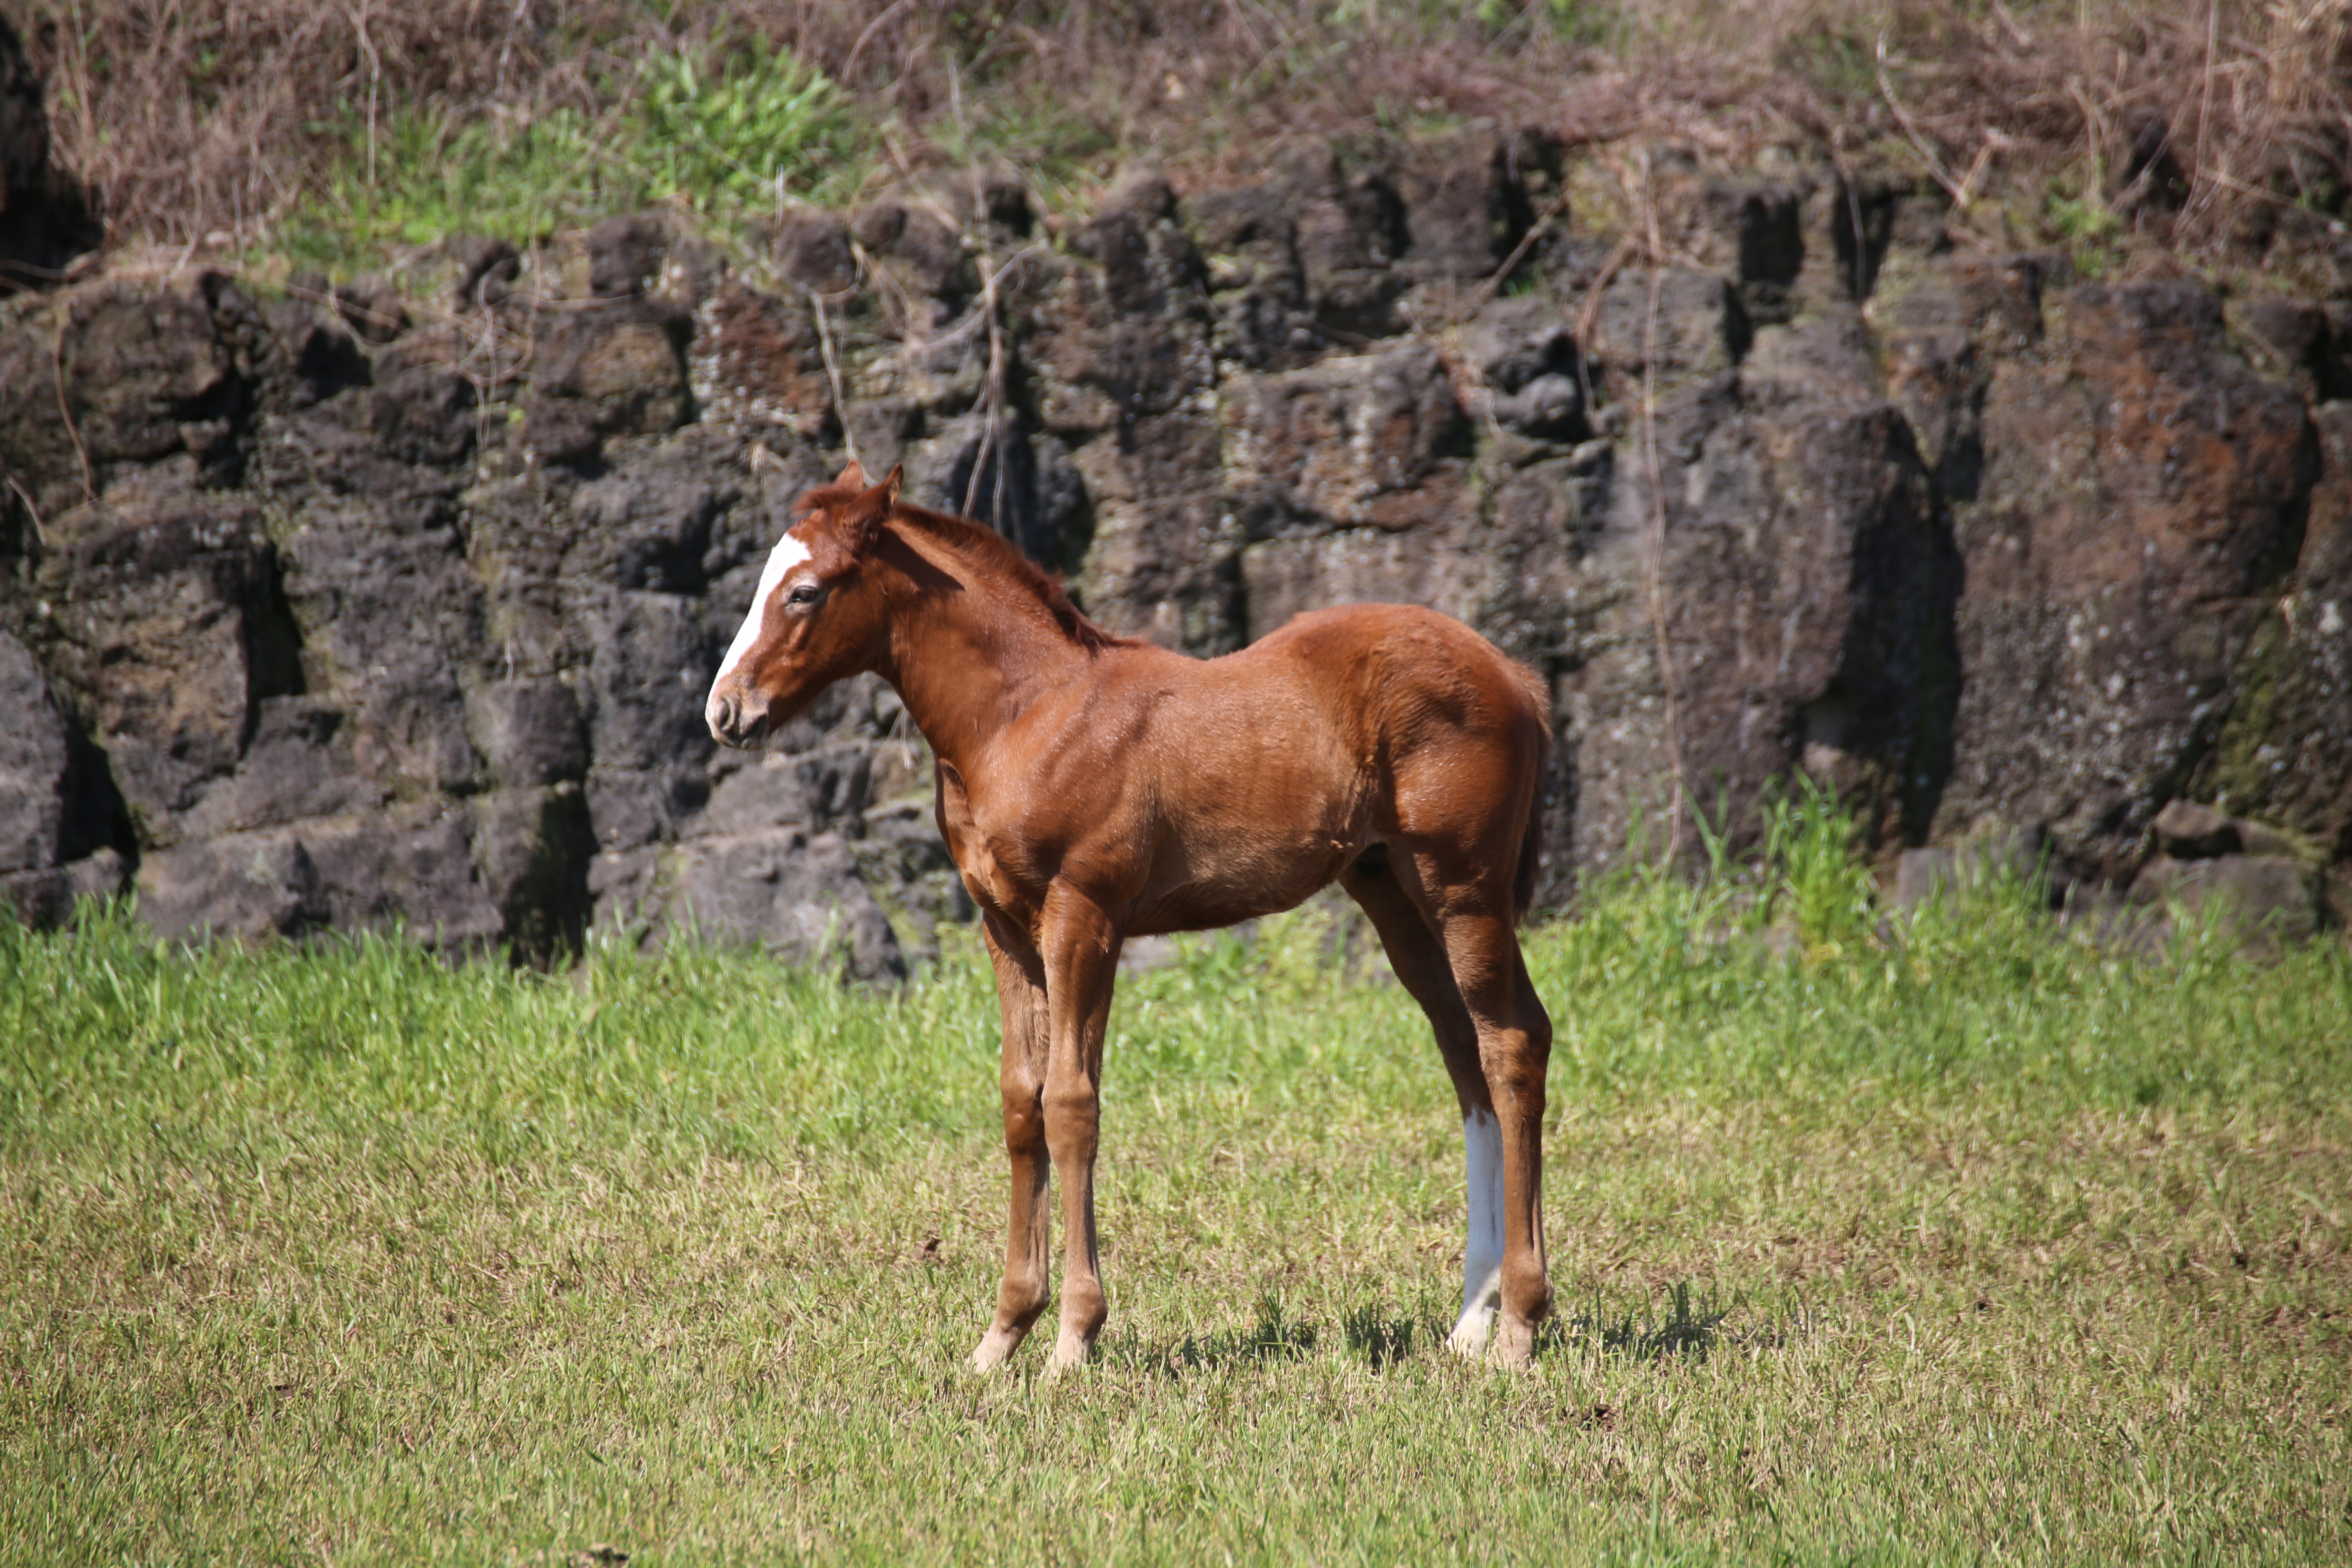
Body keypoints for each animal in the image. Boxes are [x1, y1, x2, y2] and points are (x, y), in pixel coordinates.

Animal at [710, 461, 1561, 1363]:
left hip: (1464, 887)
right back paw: (1470, 1322)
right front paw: (1001, 1338)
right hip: (1392, 891)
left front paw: (1073, 1339)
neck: (1027, 716)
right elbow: (1020, 1103)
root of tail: (1516, 675)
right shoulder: (1005, 929)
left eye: (805, 592)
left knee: (1511, 1046)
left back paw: (1519, 1325)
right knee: (1467, 1055)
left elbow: (1071, 1104)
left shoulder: (1084, 917)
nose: (725, 711)